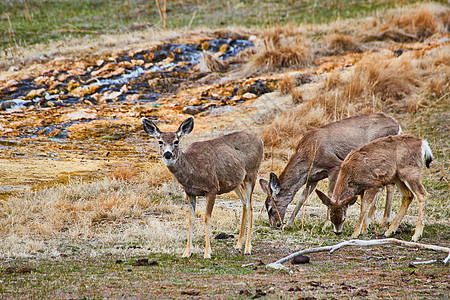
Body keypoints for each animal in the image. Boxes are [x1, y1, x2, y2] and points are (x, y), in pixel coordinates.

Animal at [142, 116, 264, 258]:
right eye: (160, 142)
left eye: (176, 141)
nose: (167, 154)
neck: (193, 170)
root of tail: (260, 140)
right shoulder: (189, 192)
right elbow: (191, 219)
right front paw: (186, 252)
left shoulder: (212, 188)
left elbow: (207, 218)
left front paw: (207, 253)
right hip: (236, 182)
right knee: (244, 203)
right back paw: (238, 245)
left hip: (251, 174)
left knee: (250, 206)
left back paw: (247, 248)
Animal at [258, 113, 400, 229]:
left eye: (270, 209)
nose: (275, 225)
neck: (308, 154)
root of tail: (397, 125)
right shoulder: (312, 178)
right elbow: (302, 198)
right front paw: (289, 224)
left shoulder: (335, 165)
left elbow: (330, 195)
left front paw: (326, 224)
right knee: (390, 185)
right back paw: (383, 221)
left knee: (383, 187)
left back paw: (373, 221)